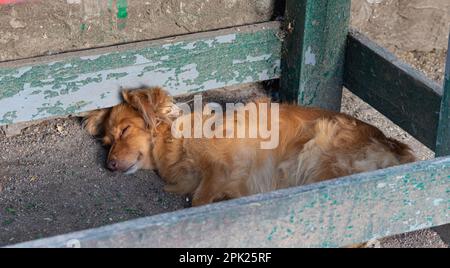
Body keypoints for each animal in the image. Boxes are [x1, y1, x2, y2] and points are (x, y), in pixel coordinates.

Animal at [84, 87, 414, 206]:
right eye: (107, 142)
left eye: (125, 130)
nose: (108, 165)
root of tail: (396, 149)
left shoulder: (221, 168)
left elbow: (199, 201)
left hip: (318, 155)